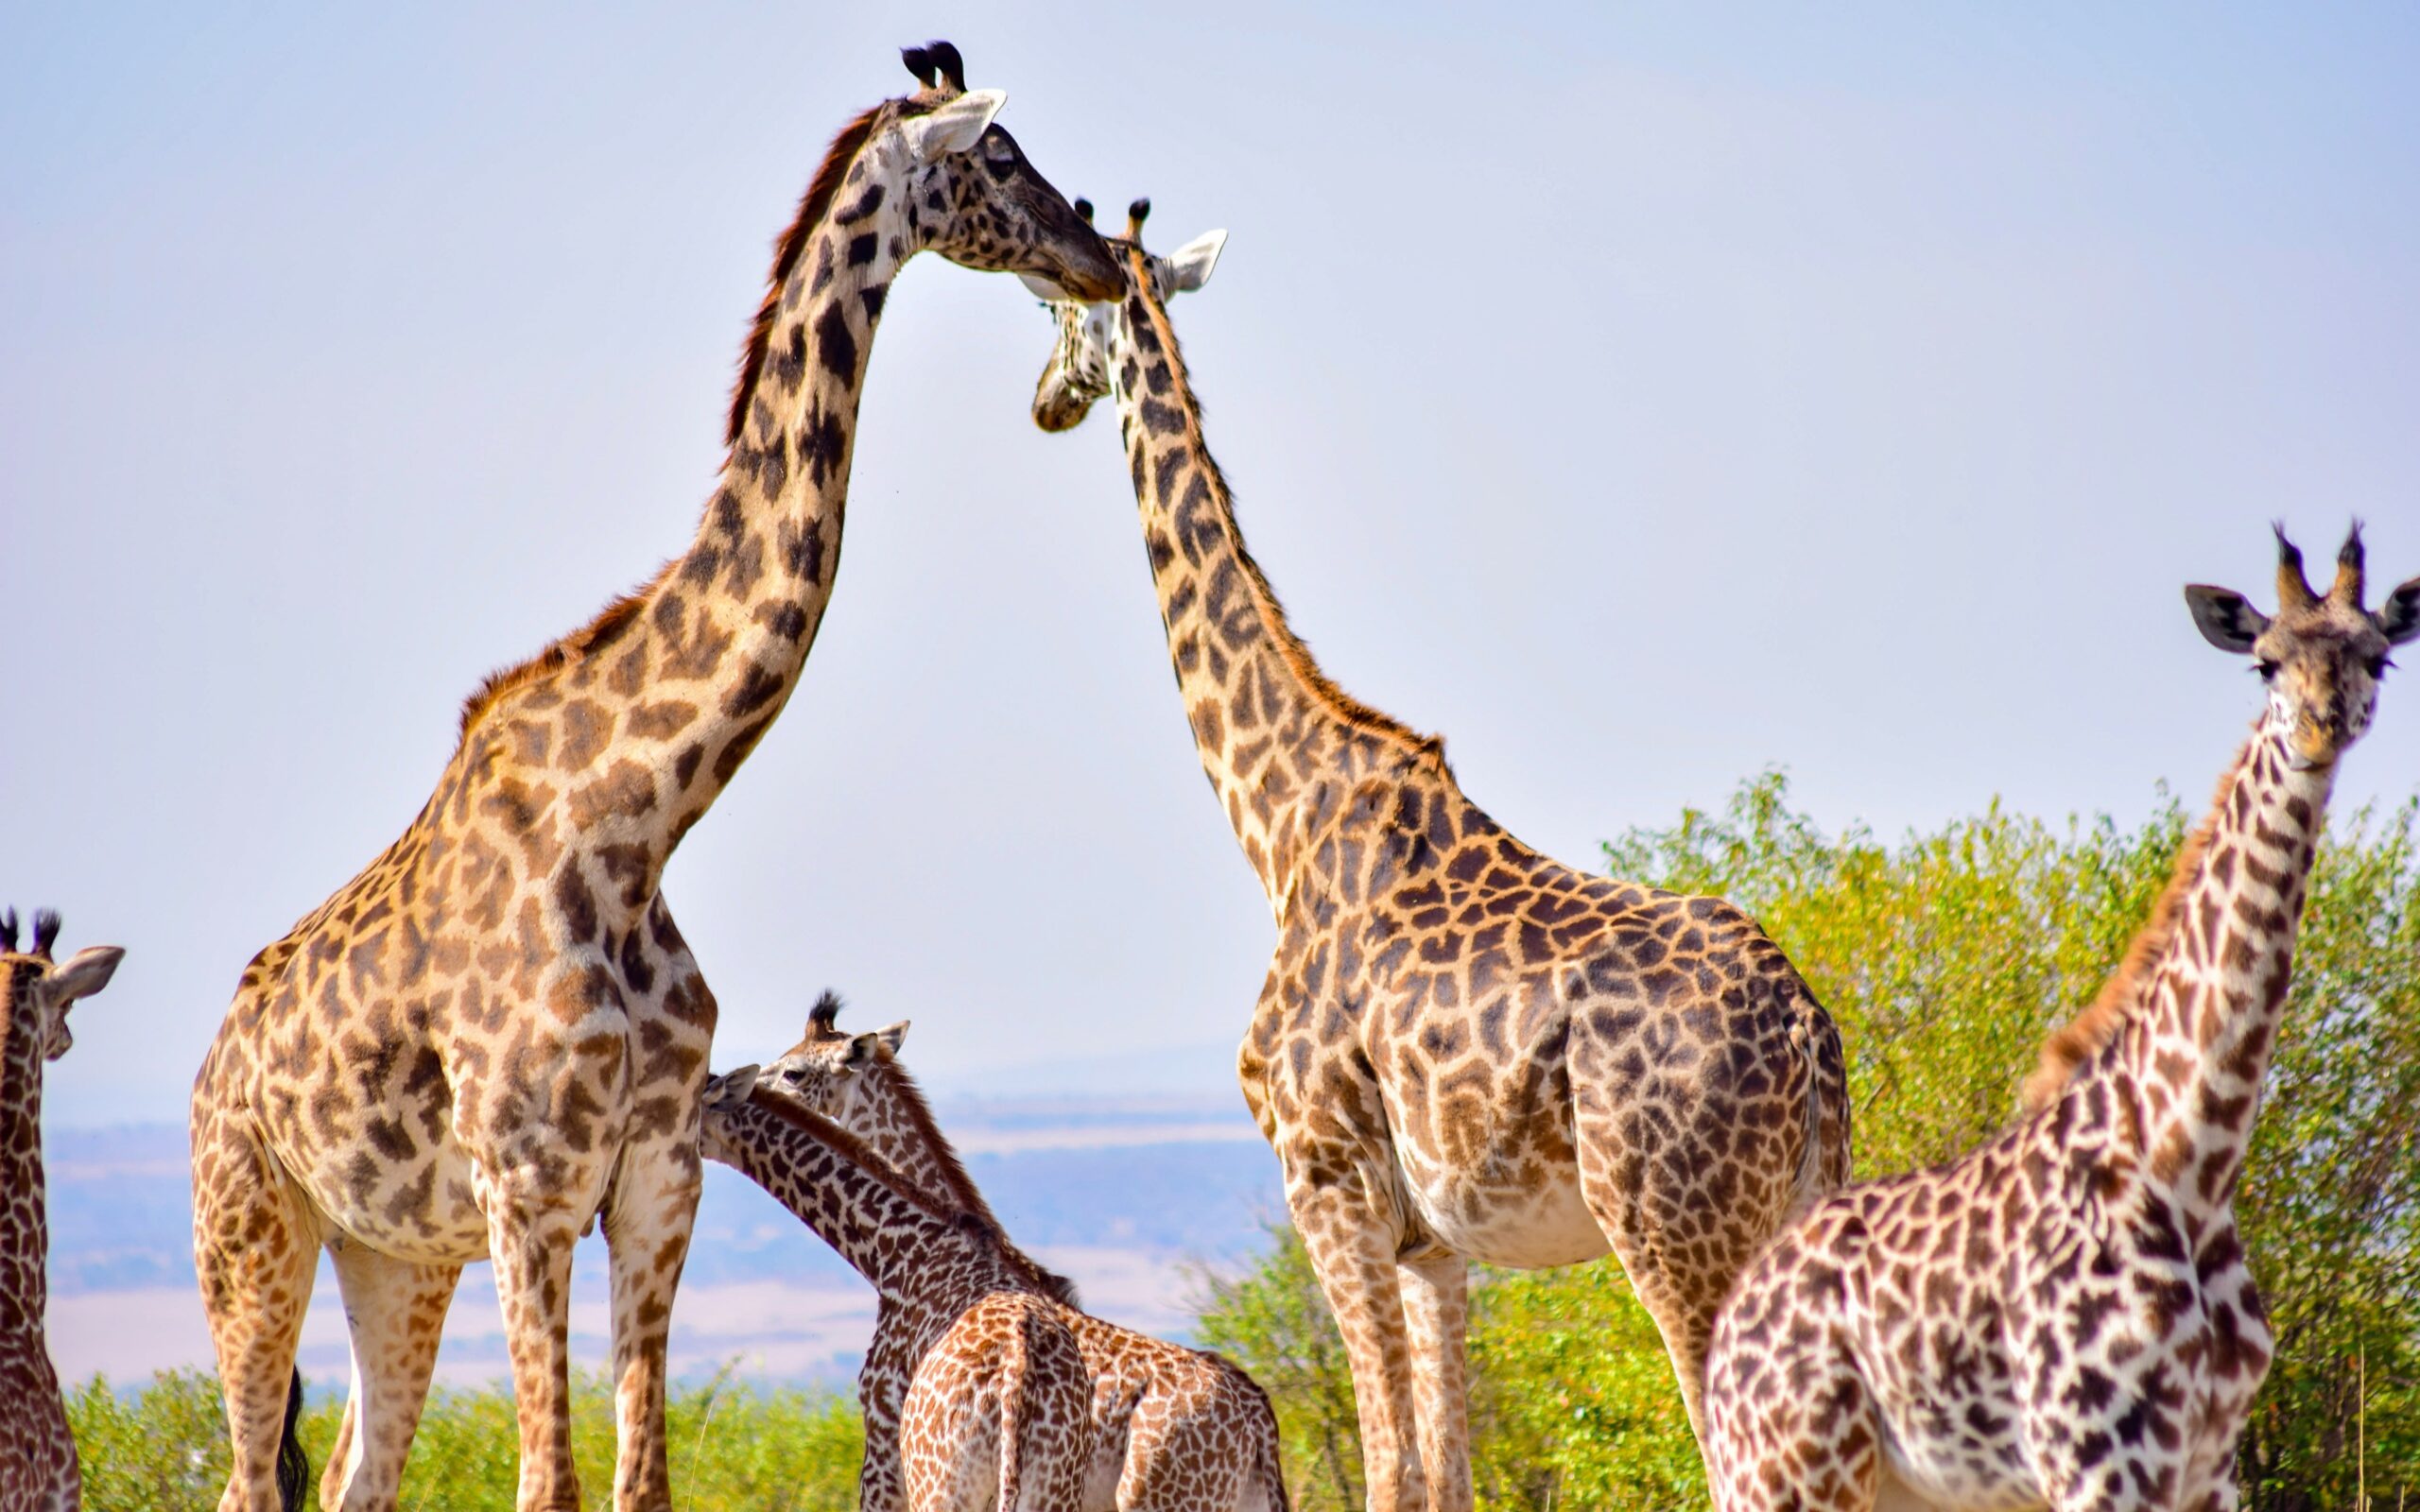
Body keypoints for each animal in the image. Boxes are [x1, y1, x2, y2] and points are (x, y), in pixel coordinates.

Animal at [695, 1066, 1095, 1512]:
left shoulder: (881, 1436)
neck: (893, 1253)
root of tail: (1016, 1386)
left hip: (940, 1485)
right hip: (1053, 1488)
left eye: (793, 1073)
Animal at [1025, 201, 1854, 1509]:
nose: (1044, 400)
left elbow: (1384, 1467)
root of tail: (1805, 1035)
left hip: (1678, 1232)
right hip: (1798, 1205)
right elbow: (1445, 1473)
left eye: (1056, 308)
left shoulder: (1326, 1182)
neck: (1278, 818)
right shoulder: (1434, 1242)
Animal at [1699, 526, 2420, 1511]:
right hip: (1784, 1473)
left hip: (1896, 1487)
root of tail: (1732, 1324)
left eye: (2377, 656)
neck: (2190, 1164)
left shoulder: (2208, 1466)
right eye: (2264, 664)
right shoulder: (2098, 1458)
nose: (2317, 731)